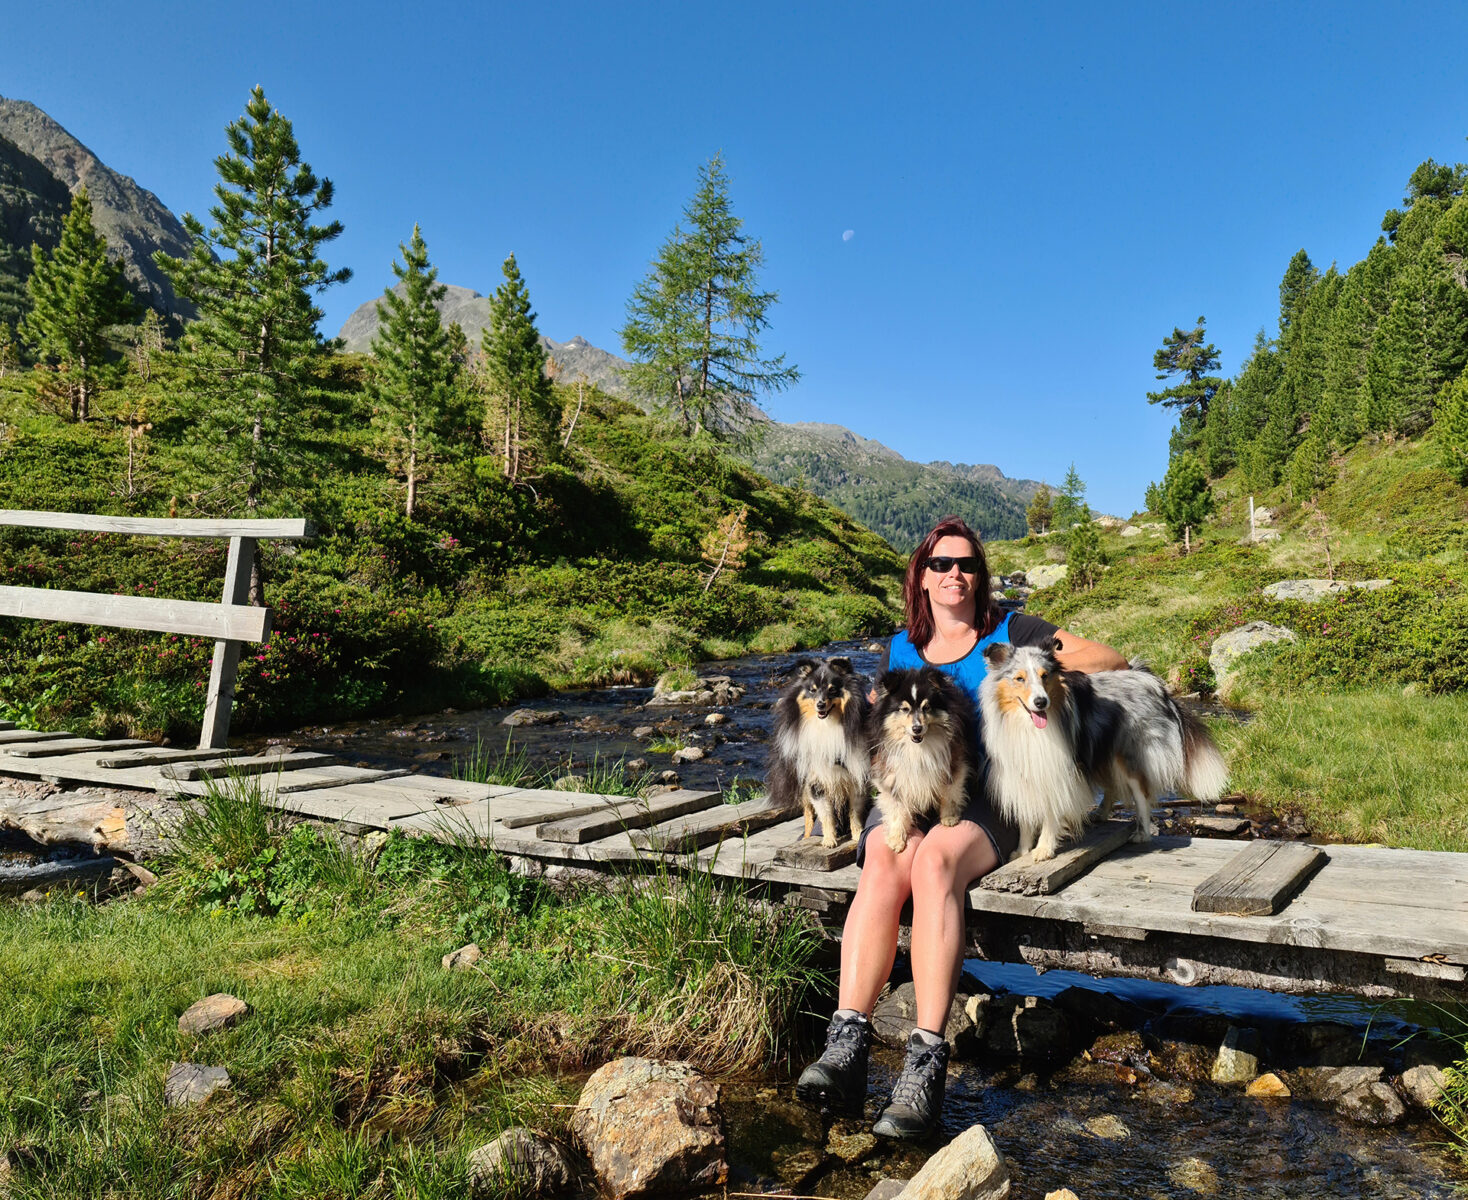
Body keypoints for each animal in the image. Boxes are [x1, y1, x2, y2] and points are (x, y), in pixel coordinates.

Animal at [769, 660, 869, 846]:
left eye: (832, 689)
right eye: (812, 690)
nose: (820, 705)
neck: (827, 726)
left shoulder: (856, 776)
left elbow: (855, 813)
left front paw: (858, 835)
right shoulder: (816, 782)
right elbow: (826, 814)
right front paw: (829, 840)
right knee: (808, 815)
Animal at [863, 663, 980, 851]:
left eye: (927, 707)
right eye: (904, 709)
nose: (917, 728)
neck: (917, 748)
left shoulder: (954, 762)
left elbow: (950, 791)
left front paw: (949, 817)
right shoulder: (891, 773)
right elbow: (896, 807)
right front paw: (896, 838)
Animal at [980, 637, 1233, 863]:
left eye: (1045, 676)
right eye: (1019, 678)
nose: (1041, 702)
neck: (1027, 726)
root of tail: (1154, 682)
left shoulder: (1057, 771)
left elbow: (1051, 811)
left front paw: (1043, 849)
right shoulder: (1020, 772)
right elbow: (1025, 815)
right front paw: (1022, 850)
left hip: (1130, 758)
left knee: (1142, 796)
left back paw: (1142, 834)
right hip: (1103, 752)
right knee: (1112, 786)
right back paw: (1101, 814)